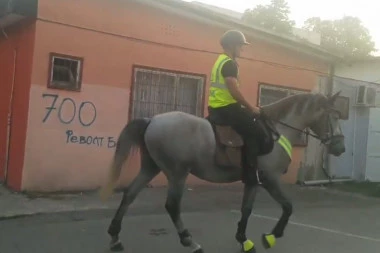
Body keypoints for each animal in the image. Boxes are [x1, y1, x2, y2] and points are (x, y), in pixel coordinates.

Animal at [99, 91, 346, 253]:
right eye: (333, 116)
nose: (340, 148)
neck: (277, 131)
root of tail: (152, 120)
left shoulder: (253, 181)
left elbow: (246, 210)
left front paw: (244, 240)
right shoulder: (270, 179)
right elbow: (287, 207)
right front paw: (271, 237)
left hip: (151, 167)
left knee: (129, 194)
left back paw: (114, 237)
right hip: (177, 173)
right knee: (172, 206)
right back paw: (190, 242)